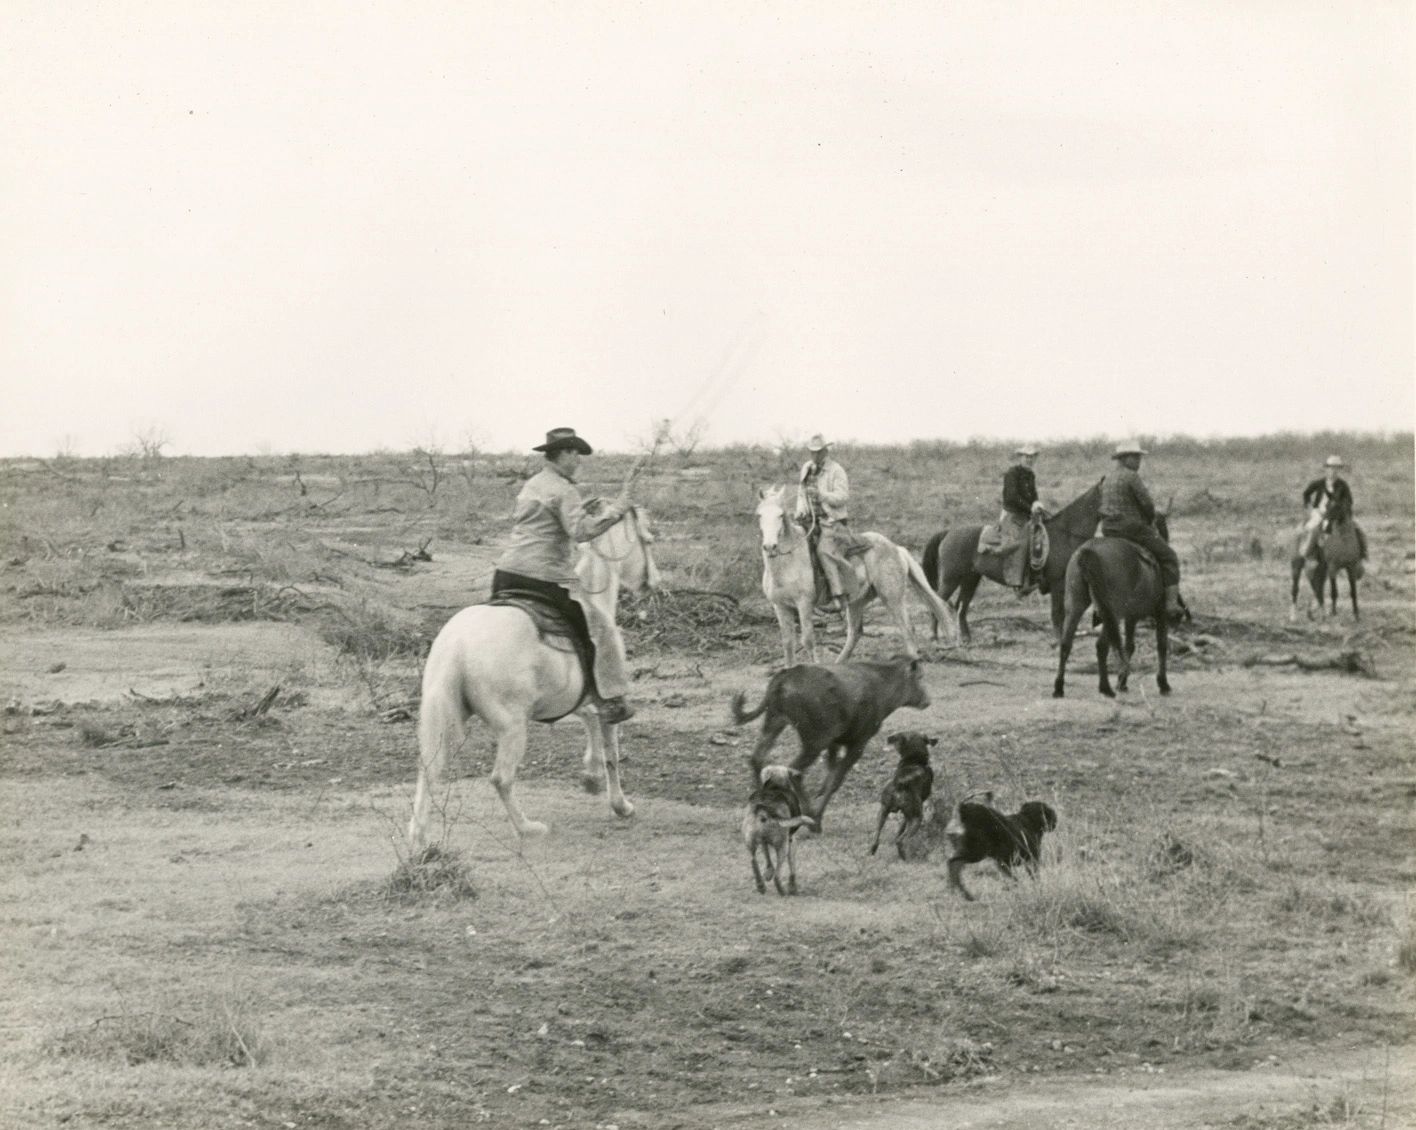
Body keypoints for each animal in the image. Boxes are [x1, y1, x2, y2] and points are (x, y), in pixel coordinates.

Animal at [404, 509, 657, 849]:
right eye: (648, 539)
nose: (653, 583)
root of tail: (458, 646)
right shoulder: (605, 699)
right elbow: (611, 752)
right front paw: (621, 805)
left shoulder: (575, 698)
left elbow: (590, 720)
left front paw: (590, 778)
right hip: (513, 728)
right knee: (501, 778)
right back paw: (528, 828)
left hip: (448, 719)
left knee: (430, 768)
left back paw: (419, 836)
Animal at [741, 764, 821, 900]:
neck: (775, 785)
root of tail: (764, 808)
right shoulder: (792, 841)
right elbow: (792, 867)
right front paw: (792, 887)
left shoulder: (763, 841)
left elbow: (767, 856)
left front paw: (768, 872)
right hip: (783, 846)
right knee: (777, 875)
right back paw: (782, 891)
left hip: (750, 840)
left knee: (753, 860)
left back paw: (760, 885)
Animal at [753, 484, 962, 662]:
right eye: (759, 515)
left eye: (780, 515)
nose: (770, 546)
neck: (788, 563)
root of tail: (896, 548)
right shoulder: (780, 606)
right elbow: (788, 643)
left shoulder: (804, 604)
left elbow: (808, 640)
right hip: (856, 601)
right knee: (855, 632)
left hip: (892, 597)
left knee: (907, 628)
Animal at [923, 487, 1110, 645]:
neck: (1065, 534)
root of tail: (948, 532)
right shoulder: (1057, 582)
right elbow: (1057, 612)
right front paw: (1058, 640)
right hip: (950, 579)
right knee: (938, 600)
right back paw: (933, 636)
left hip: (970, 579)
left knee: (961, 607)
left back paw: (966, 638)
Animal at [1053, 521, 1183, 699]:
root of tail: (1087, 551)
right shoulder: (1160, 615)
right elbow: (1161, 645)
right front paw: (1163, 684)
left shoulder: (1131, 617)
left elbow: (1129, 646)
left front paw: (1123, 681)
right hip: (1111, 613)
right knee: (1101, 645)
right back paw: (1105, 688)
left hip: (1076, 606)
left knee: (1066, 643)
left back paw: (1059, 687)